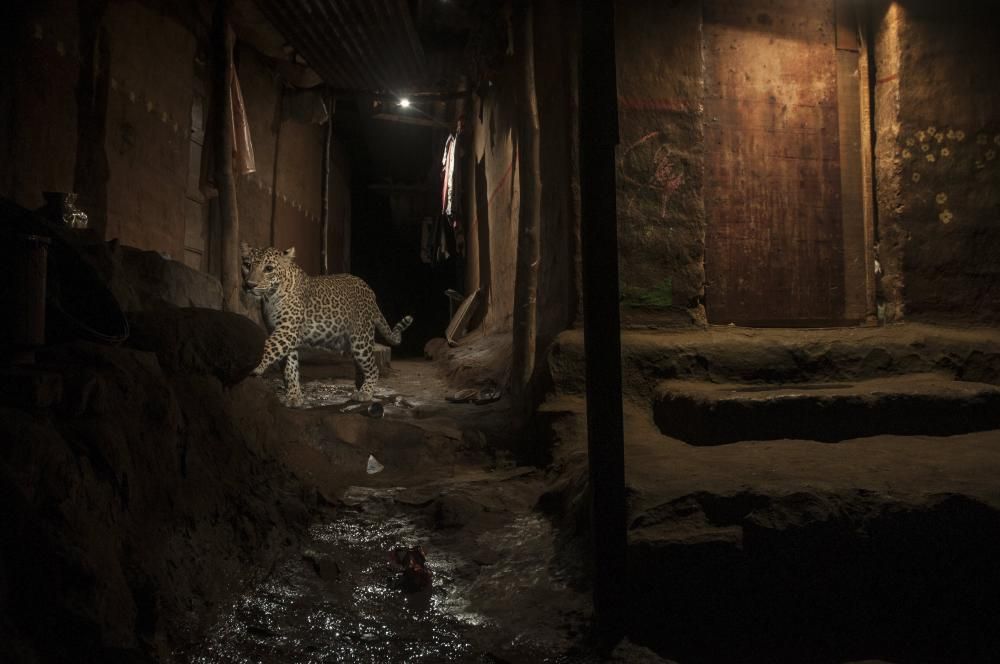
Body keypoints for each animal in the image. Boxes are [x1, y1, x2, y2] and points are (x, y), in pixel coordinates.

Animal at [240, 243, 412, 408]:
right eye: (247, 265)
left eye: (269, 269)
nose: (250, 285)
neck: (270, 296)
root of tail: (370, 290)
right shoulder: (282, 332)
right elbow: (290, 367)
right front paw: (294, 396)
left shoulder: (287, 330)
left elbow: (268, 346)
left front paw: (255, 365)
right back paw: (359, 385)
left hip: (360, 340)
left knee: (373, 367)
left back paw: (365, 392)